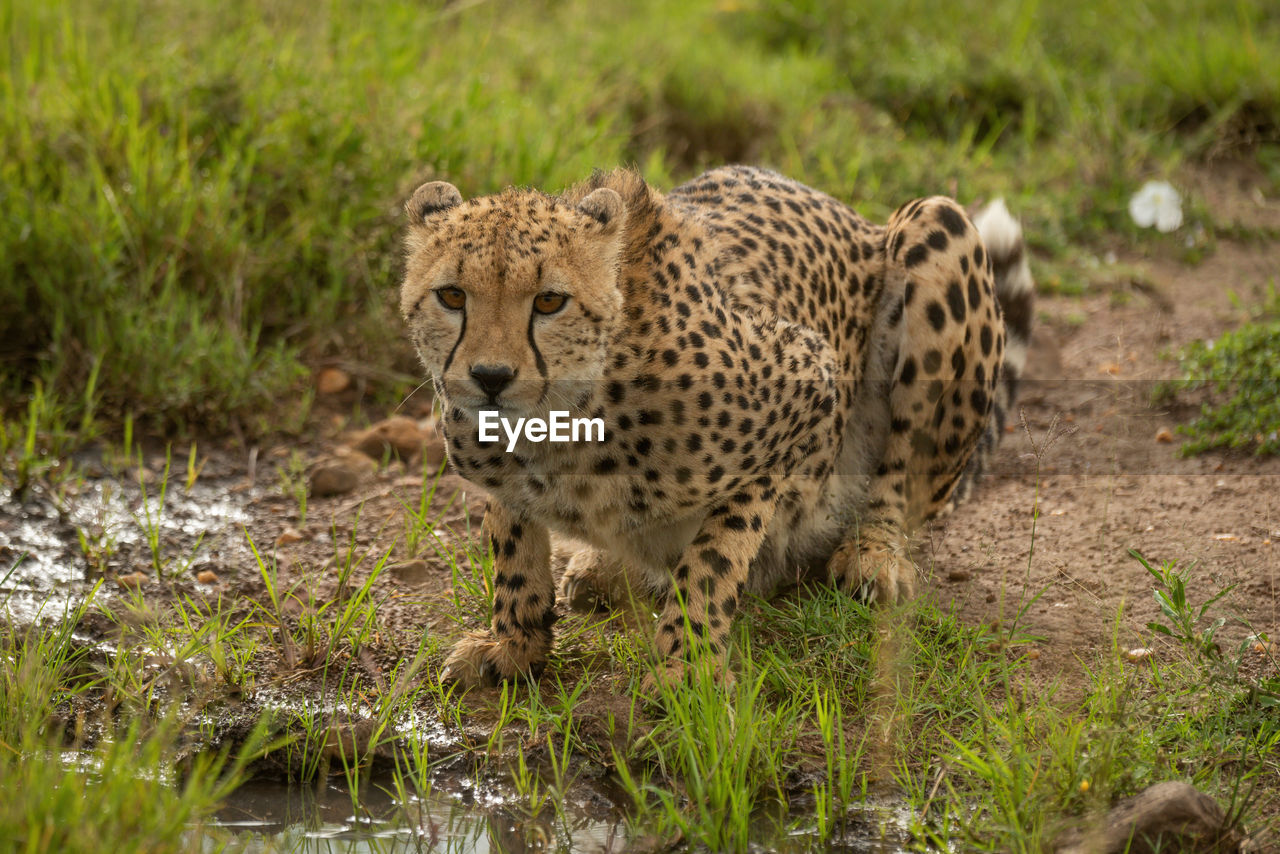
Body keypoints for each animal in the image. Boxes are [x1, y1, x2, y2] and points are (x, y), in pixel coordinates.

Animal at [399, 163, 1029, 691]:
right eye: (452, 295)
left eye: (550, 301)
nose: (491, 377)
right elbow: (513, 544)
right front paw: (513, 644)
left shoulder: (807, 384)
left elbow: (716, 556)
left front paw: (688, 663)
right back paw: (598, 565)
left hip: (938, 223)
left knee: (901, 481)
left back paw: (873, 554)